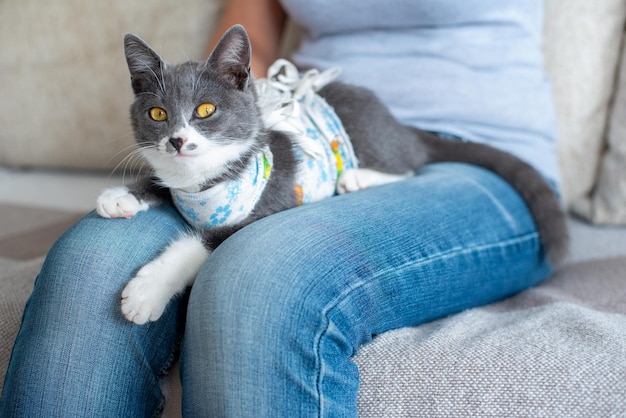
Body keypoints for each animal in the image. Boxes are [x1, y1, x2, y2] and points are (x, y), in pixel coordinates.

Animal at [96, 25, 564, 326]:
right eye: (158, 114)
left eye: (205, 110)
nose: (178, 140)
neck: (203, 181)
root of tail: (401, 125)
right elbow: (161, 181)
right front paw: (122, 196)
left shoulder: (271, 197)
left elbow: (201, 242)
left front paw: (147, 291)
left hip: (373, 137)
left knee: (412, 164)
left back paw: (359, 178)